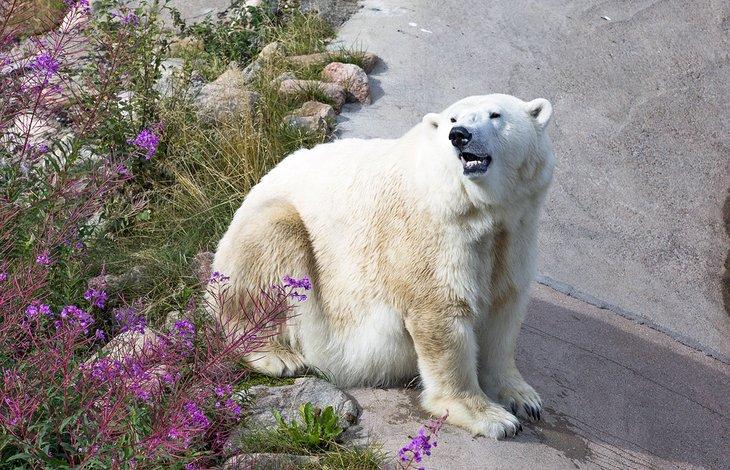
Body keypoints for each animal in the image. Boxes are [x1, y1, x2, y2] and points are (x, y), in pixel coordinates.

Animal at [208, 94, 555, 439]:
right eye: (453, 120)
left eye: (495, 115)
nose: (459, 136)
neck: (476, 209)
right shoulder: (431, 233)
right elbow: (442, 313)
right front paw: (492, 418)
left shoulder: (515, 231)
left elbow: (503, 312)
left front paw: (523, 398)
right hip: (262, 242)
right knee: (271, 241)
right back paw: (277, 355)